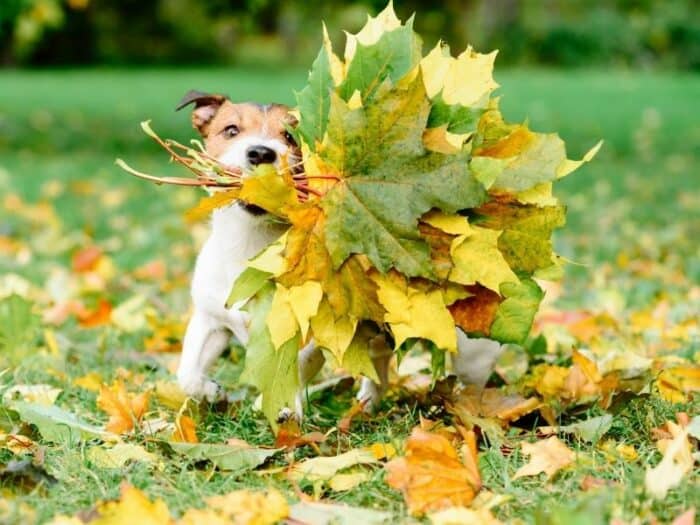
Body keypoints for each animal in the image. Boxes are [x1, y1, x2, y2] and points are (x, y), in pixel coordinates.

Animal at [174, 89, 504, 418]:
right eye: (231, 130)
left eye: (291, 136)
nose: (260, 152)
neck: (251, 248)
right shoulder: (210, 318)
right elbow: (186, 374)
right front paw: (210, 392)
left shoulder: (306, 333)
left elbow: (292, 371)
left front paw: (281, 409)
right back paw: (367, 405)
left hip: (471, 350)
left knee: (472, 383)